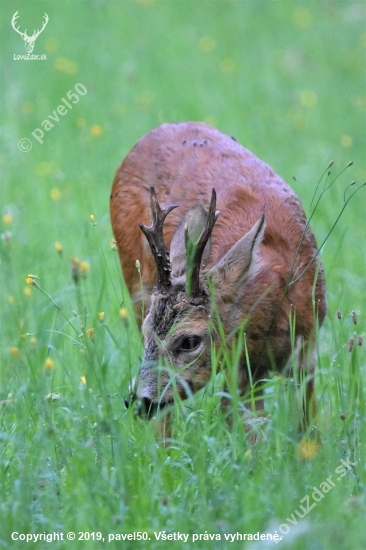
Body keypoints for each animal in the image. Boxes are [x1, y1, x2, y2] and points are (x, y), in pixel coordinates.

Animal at [109, 123, 326, 424]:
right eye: (146, 333)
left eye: (189, 341)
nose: (139, 401)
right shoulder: (239, 366)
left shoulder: (306, 352)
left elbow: (308, 426)